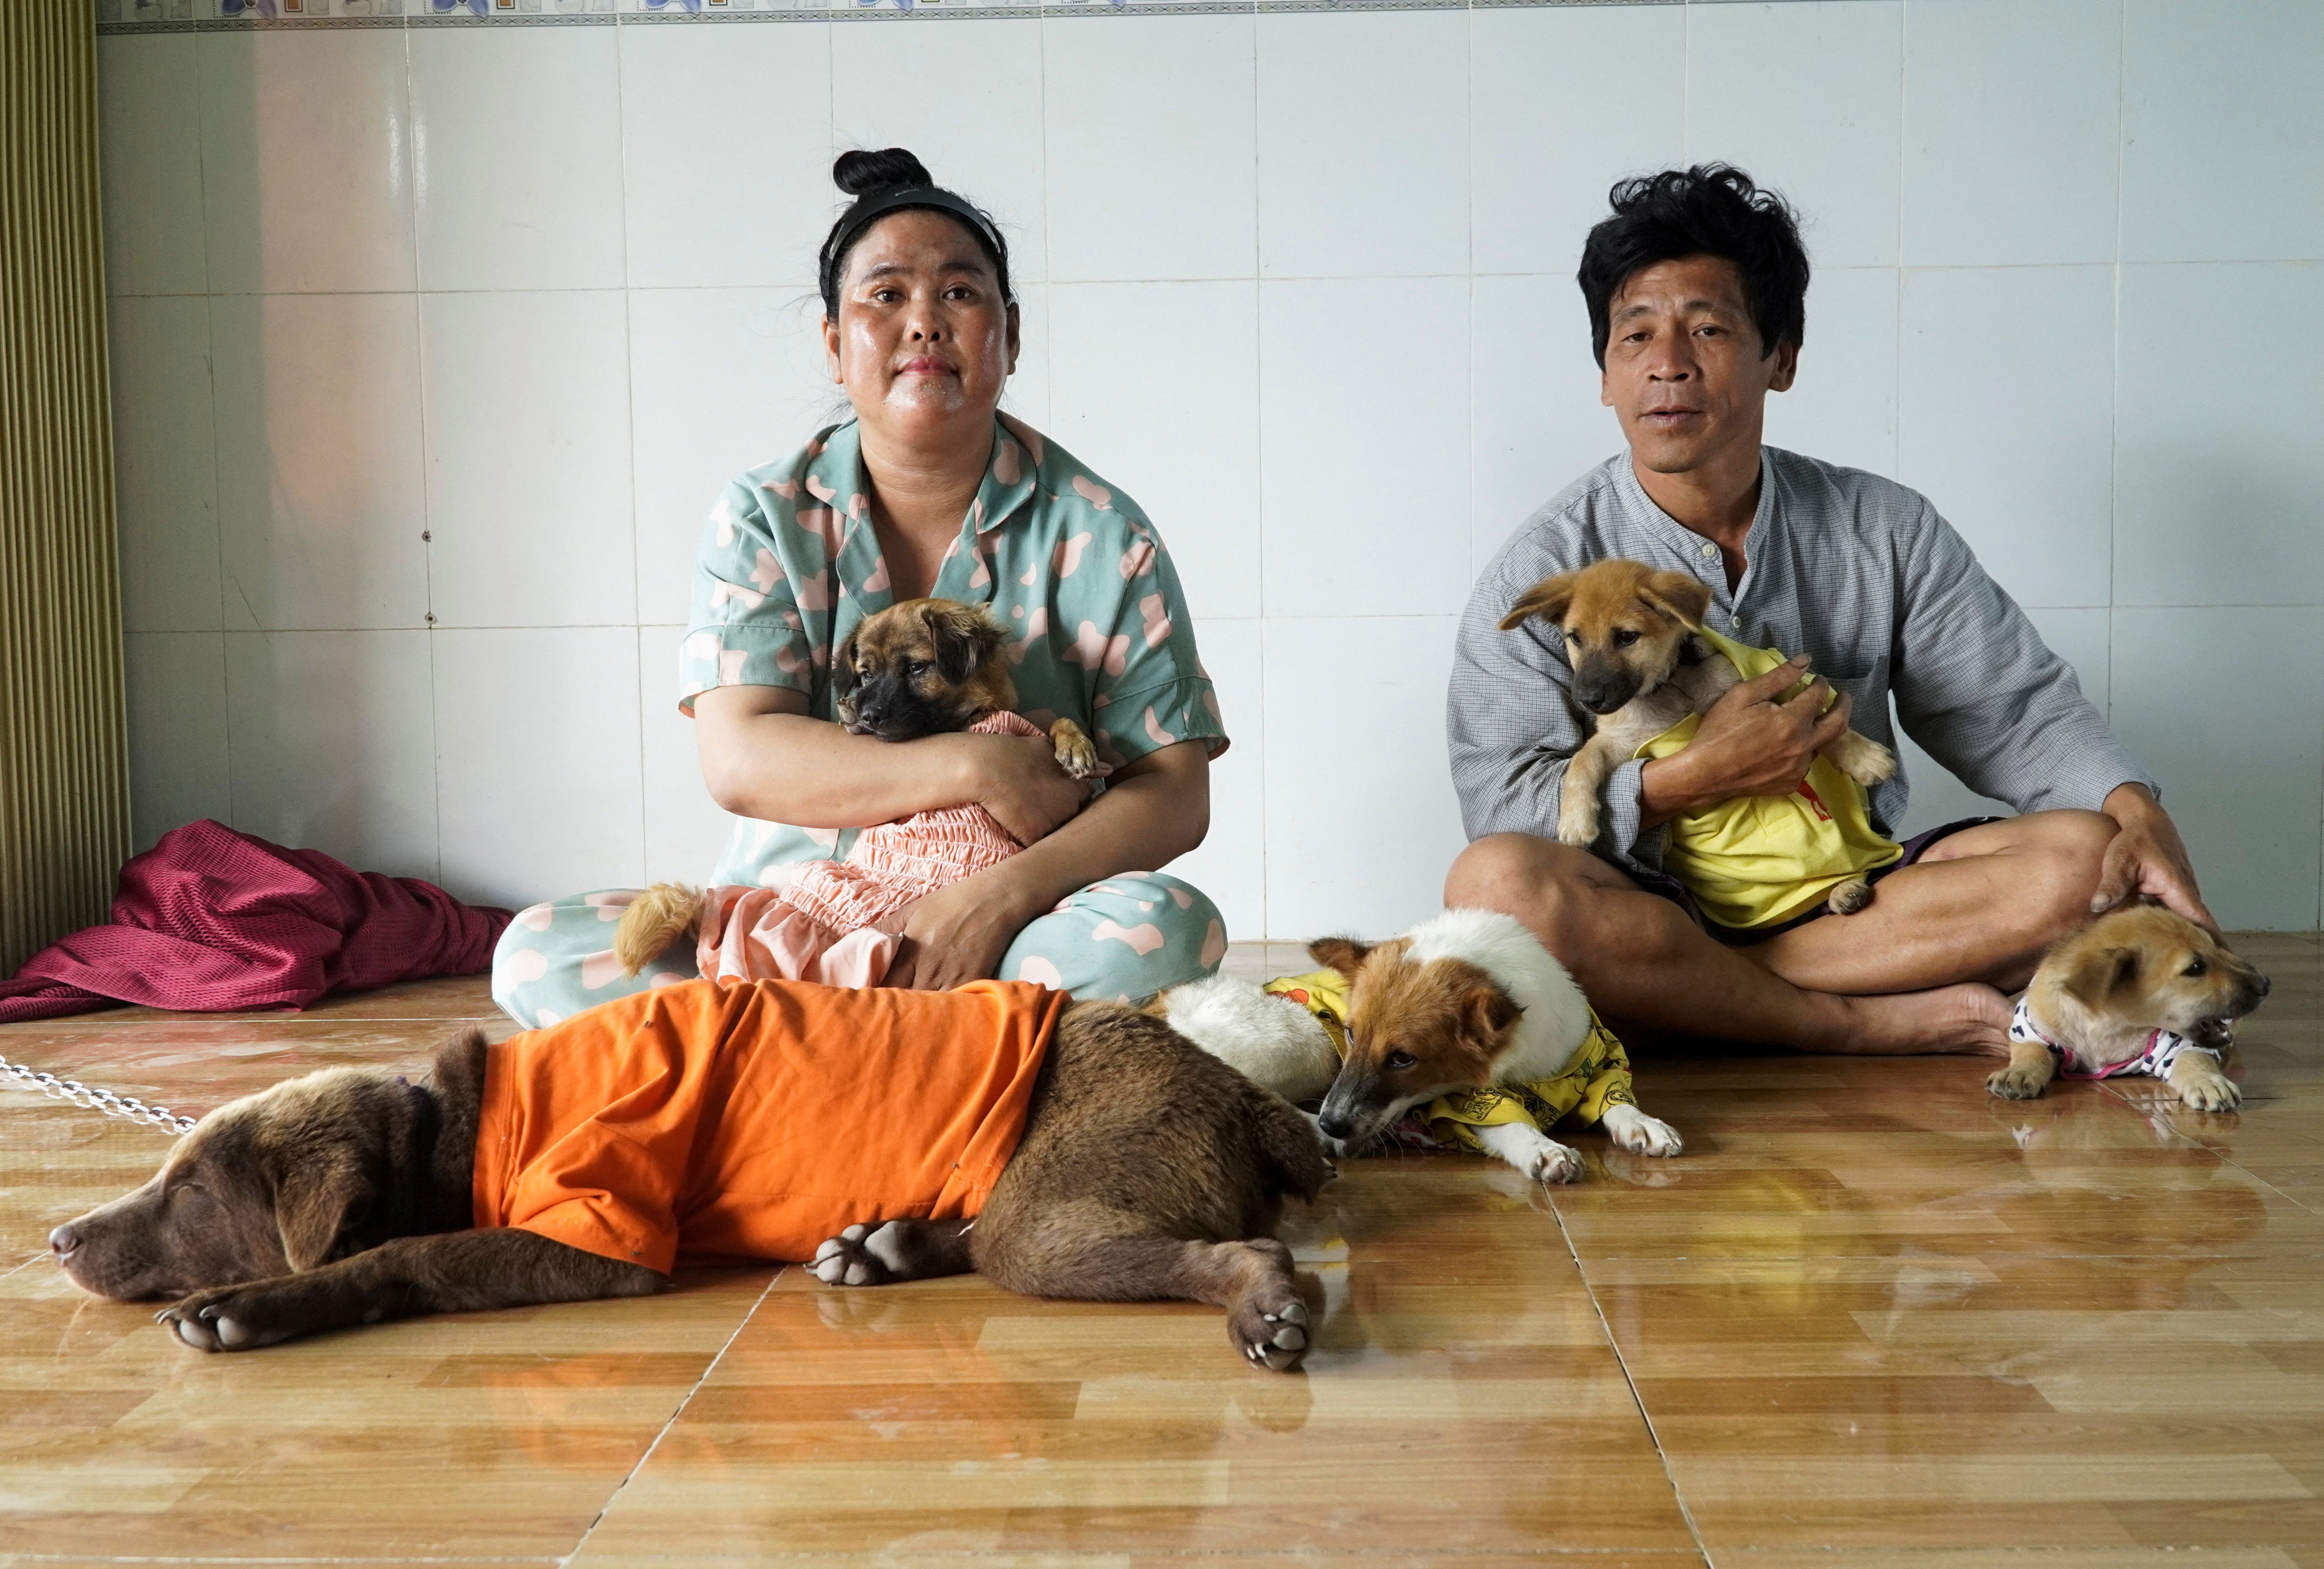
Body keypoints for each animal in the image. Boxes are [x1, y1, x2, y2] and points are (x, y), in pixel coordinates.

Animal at [50, 981, 1329, 1376]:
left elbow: (406, 1254)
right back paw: (882, 1244)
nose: (58, 1239)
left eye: (191, 1194)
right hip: (1032, 1194)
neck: (454, 1129)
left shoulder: (592, 1230)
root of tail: (1240, 1088)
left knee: (1242, 1250)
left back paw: (1268, 1310)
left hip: (1060, 1205)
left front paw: (247, 1307)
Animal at [1157, 906, 1673, 1180]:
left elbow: (1614, 1097)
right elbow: (1509, 1123)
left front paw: (1642, 1124)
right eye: (1350, 1032)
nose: (1333, 1123)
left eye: (1403, 1058)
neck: (1529, 1067)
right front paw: (1542, 1148)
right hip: (1297, 1045)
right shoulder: (1465, 1105)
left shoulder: (1597, 1057)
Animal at [1496, 558, 1896, 916]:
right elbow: (1581, 761)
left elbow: (1820, 720)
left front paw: (1863, 757)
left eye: (1626, 637)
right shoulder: (1622, 741)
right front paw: (1575, 820)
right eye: (1575, 638)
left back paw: (1845, 888)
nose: (1588, 700)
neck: (1670, 684)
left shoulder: (1765, 693)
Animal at [1980, 902, 2268, 1111]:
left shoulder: (2176, 1045)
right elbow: (2033, 1052)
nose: (2267, 985)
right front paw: (2017, 1074)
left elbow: (2194, 1059)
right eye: (2195, 967)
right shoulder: (2032, 1029)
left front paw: (2209, 1081)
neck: (2113, 1026)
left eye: (2212, 950)